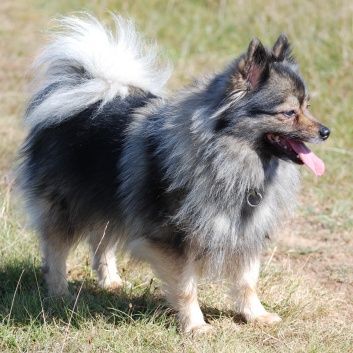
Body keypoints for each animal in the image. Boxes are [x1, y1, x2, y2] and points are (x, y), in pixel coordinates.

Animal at [16, 13, 328, 332]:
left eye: (307, 106)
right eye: (288, 113)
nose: (326, 131)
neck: (230, 156)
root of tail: (91, 89)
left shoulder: (246, 232)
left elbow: (247, 280)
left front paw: (256, 315)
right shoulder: (173, 239)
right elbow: (186, 286)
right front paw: (195, 326)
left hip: (111, 201)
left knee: (100, 240)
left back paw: (110, 281)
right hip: (67, 205)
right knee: (55, 249)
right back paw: (59, 293)